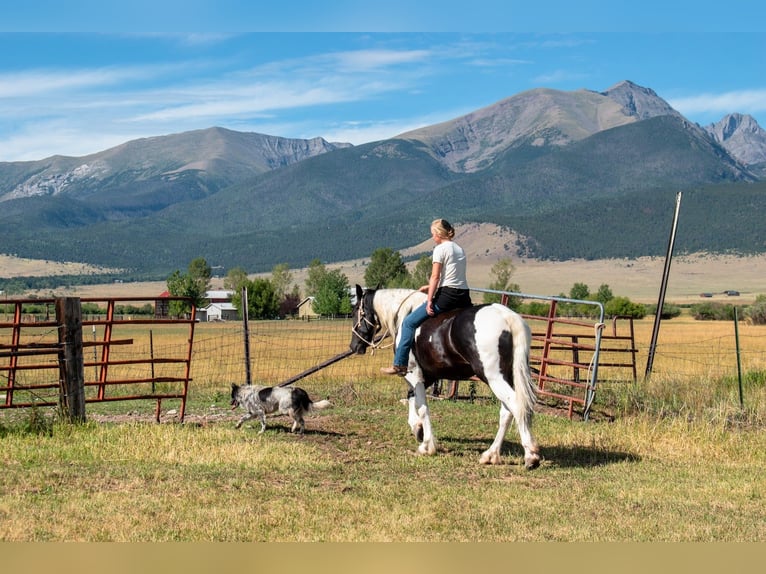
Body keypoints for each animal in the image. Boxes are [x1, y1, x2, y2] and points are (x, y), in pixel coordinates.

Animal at [349, 285, 541, 469]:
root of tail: (507, 317)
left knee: (516, 405)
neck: (405, 313)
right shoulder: (428, 376)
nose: (354, 346)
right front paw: (417, 428)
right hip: (506, 376)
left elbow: (422, 406)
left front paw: (427, 445)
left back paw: (531, 456)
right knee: (507, 412)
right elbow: (412, 397)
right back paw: (491, 455)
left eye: (355, 311)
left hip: (494, 377)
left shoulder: (413, 374)